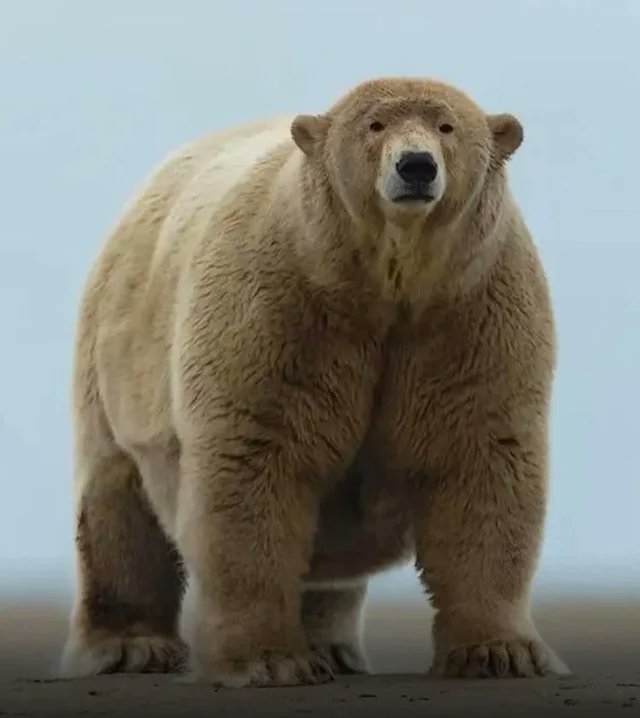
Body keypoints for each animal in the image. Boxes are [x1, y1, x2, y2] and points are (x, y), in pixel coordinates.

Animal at [60, 76, 569, 687]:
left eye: (447, 126)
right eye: (374, 125)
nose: (417, 166)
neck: (385, 286)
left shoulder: (471, 314)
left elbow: (481, 462)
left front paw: (502, 653)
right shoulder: (280, 307)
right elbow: (256, 462)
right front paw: (269, 660)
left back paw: (334, 647)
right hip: (116, 359)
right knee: (118, 501)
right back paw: (131, 647)